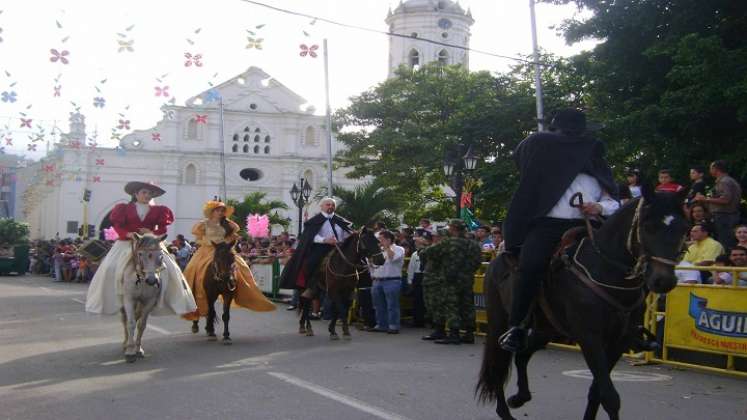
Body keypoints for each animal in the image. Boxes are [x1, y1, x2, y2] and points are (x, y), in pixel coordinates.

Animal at [480, 191, 688, 420]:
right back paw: (505, 410)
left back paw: (519, 398)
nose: (664, 281)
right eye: (648, 226)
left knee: (523, 355)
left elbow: (597, 392)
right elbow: (610, 397)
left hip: (546, 329)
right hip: (500, 321)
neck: (604, 268)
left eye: (684, 228)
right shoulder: (590, 338)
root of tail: (496, 260)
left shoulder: (618, 342)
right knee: (497, 365)